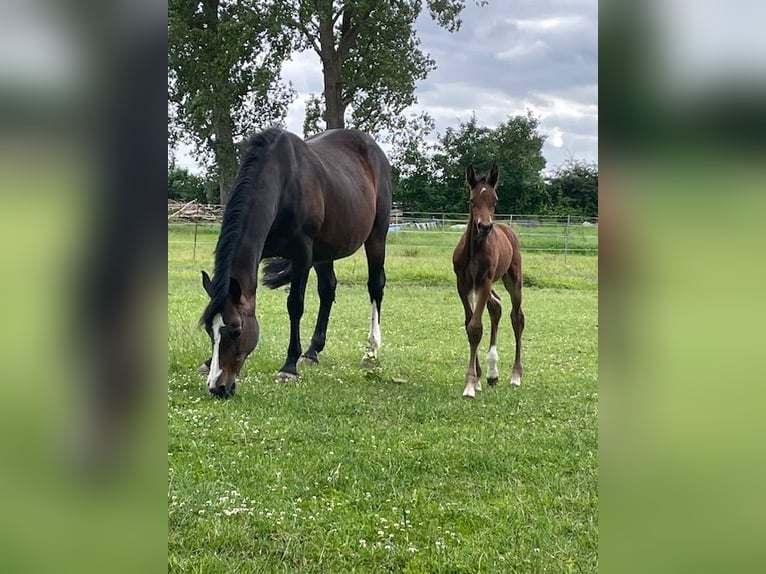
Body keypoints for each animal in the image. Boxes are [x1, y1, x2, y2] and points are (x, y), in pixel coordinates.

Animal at [198, 127, 391, 397]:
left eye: (237, 330)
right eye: (209, 330)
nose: (218, 387)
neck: (283, 183)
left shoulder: (302, 254)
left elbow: (295, 305)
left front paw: (288, 367)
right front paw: (207, 363)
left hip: (376, 235)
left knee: (375, 286)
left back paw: (371, 351)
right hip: (325, 251)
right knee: (327, 290)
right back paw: (312, 352)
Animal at [452, 163, 525, 398]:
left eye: (495, 200)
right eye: (472, 200)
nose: (484, 227)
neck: (475, 249)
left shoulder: (484, 281)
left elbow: (475, 327)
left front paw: (469, 384)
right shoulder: (463, 284)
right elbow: (469, 324)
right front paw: (477, 379)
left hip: (513, 281)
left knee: (517, 318)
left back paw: (515, 375)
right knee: (496, 307)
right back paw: (492, 374)